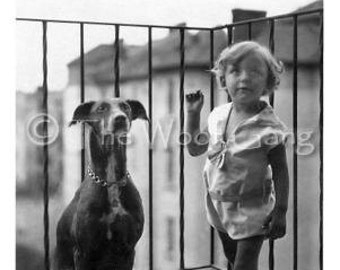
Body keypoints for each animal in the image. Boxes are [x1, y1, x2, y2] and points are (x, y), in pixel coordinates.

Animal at [54, 98, 147, 268]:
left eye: (126, 107)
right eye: (101, 108)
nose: (120, 118)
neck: (111, 182)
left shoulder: (128, 250)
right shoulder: (84, 252)